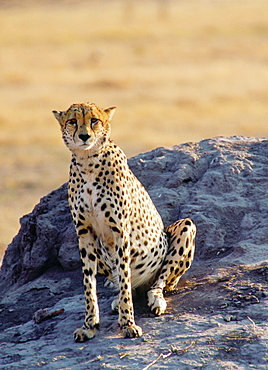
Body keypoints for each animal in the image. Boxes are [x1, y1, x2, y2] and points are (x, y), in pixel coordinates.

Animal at [53, 101, 196, 342]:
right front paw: (89, 325)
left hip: (186, 228)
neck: (88, 161)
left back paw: (155, 299)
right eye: (73, 121)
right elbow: (89, 284)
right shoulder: (84, 232)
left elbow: (124, 277)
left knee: (159, 282)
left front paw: (128, 324)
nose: (84, 136)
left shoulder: (120, 231)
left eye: (94, 120)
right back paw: (116, 300)